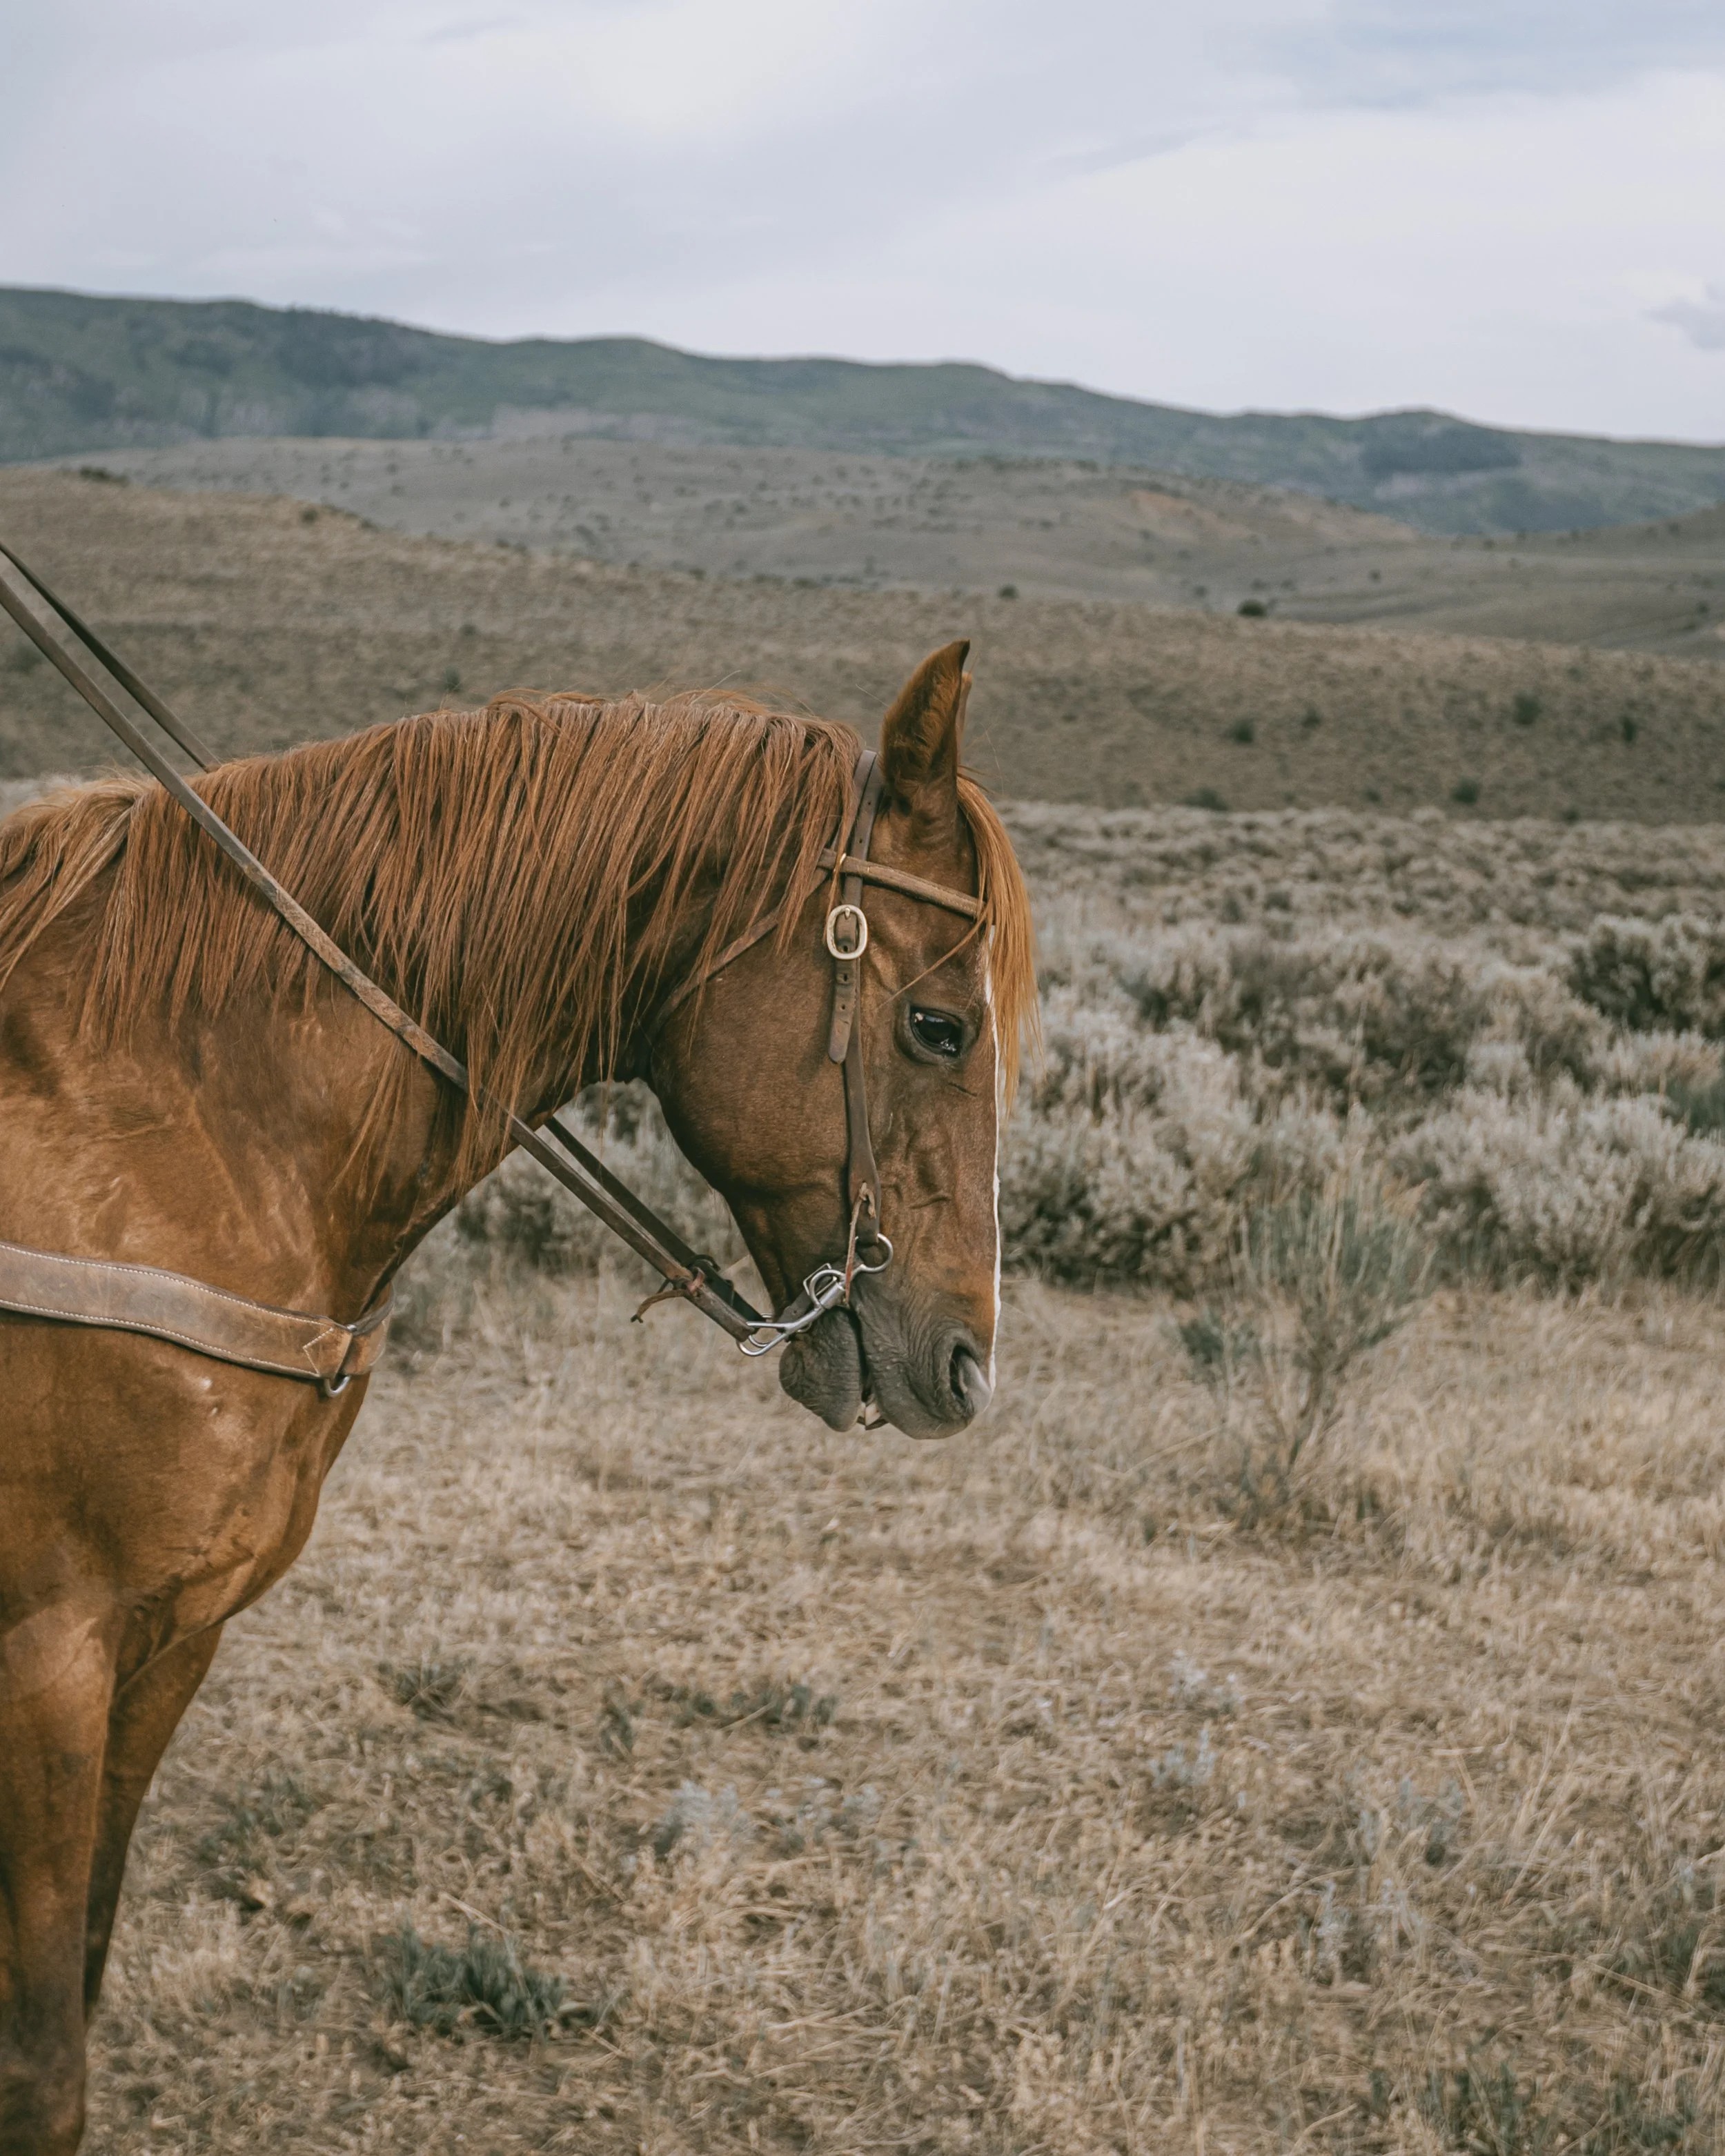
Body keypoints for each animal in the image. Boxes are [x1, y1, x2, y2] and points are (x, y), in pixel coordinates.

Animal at [0, 638, 1035, 2152]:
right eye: (939, 1024)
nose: (965, 1365)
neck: (170, 1134)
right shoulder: (47, 1655)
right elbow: (40, 2065)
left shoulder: (167, 1639)